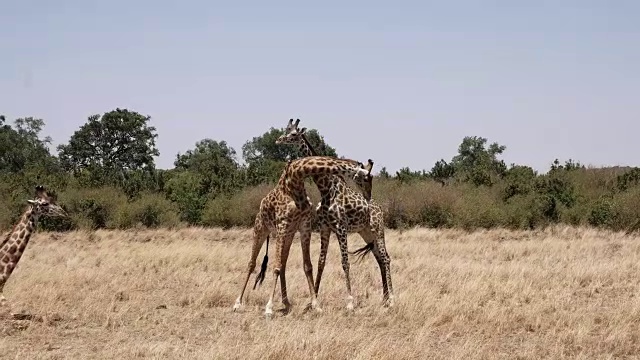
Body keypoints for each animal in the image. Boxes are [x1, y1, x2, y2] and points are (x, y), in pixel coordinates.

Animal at [231, 155, 370, 316]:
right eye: (367, 178)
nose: (367, 197)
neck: (296, 178)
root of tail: (260, 207)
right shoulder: (282, 224)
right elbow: (275, 266)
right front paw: (269, 308)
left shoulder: (304, 225)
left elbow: (307, 266)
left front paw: (316, 305)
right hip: (261, 229)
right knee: (252, 263)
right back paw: (237, 303)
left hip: (289, 234)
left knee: (283, 264)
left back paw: (287, 303)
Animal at [276, 118, 396, 310]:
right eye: (285, 130)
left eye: (293, 134)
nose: (279, 140)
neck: (325, 188)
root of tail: (380, 208)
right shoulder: (325, 227)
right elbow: (321, 262)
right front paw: (313, 300)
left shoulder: (340, 228)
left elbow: (345, 263)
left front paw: (350, 302)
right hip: (365, 232)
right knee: (379, 258)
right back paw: (383, 298)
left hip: (378, 230)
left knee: (386, 259)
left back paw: (391, 299)